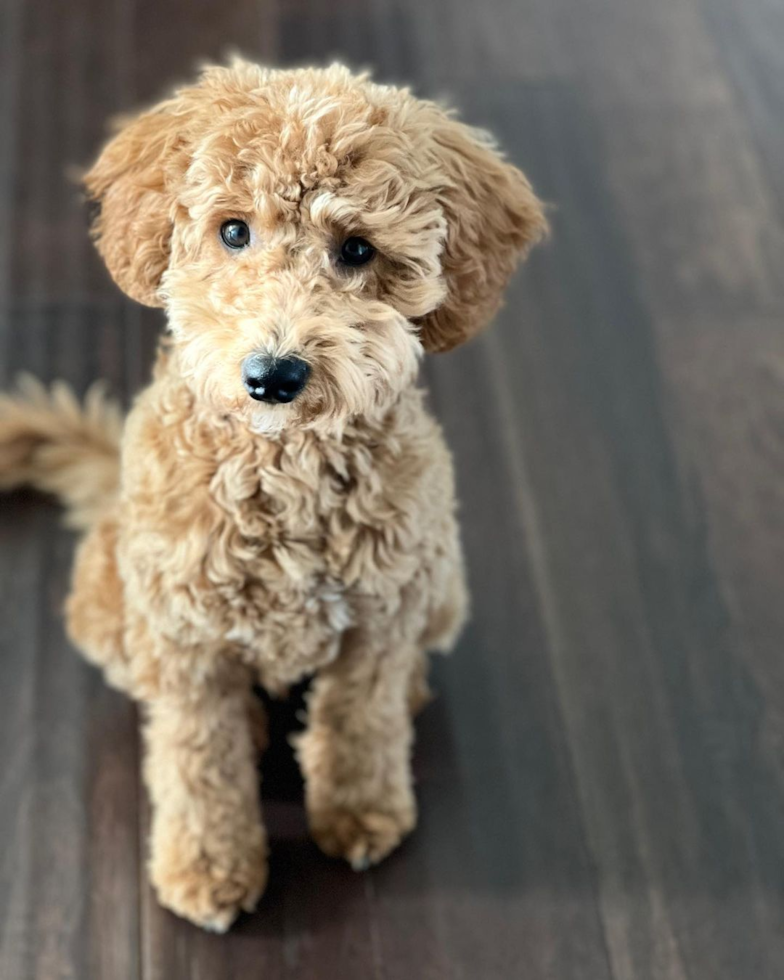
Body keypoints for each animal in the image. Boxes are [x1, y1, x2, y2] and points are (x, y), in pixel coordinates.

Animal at [0, 57, 544, 932]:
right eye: (232, 232)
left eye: (356, 249)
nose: (274, 374)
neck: (286, 469)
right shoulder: (184, 641)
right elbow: (197, 760)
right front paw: (207, 868)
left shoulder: (380, 618)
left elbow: (360, 722)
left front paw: (359, 812)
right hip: (107, 608)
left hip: (441, 585)